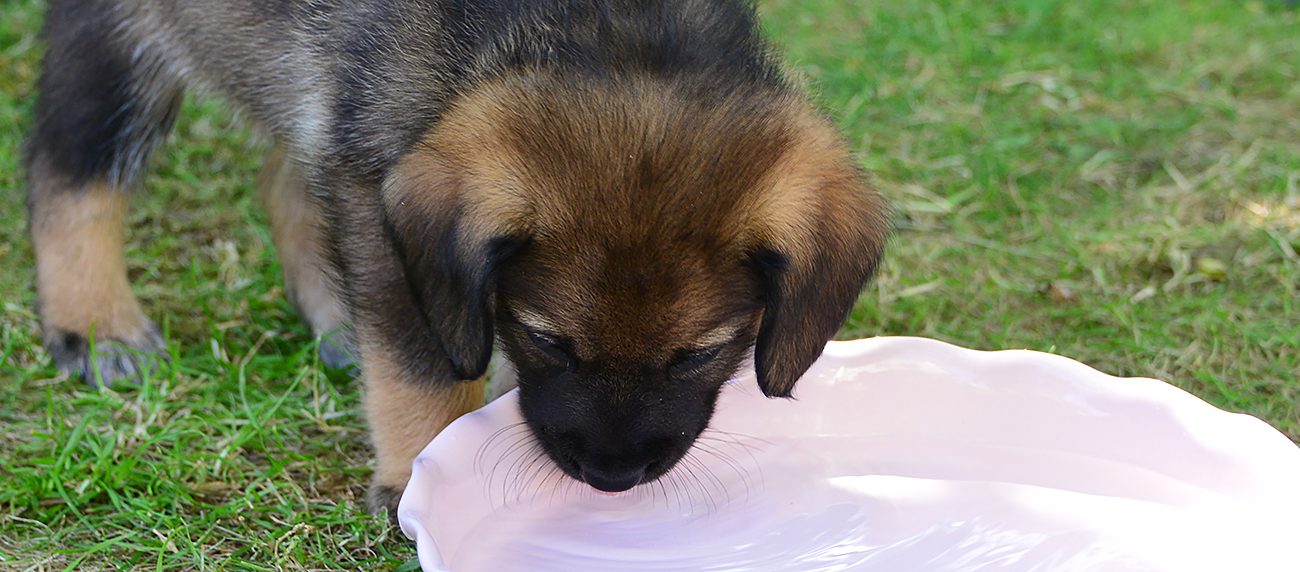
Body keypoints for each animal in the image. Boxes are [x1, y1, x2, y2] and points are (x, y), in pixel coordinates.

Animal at [27, 0, 883, 517]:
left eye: (703, 353)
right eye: (545, 338)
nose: (612, 479)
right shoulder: (384, 205)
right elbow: (426, 367)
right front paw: (421, 476)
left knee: (286, 176)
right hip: (116, 41)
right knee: (70, 170)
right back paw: (95, 325)